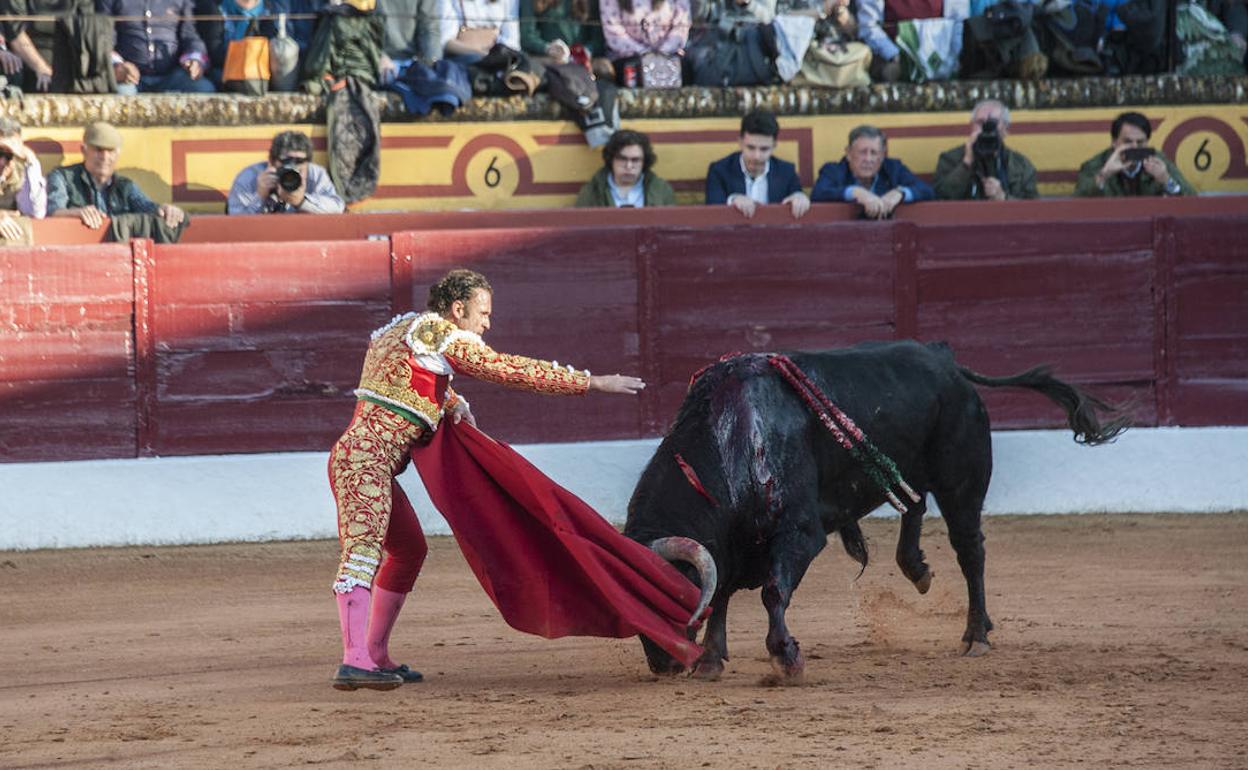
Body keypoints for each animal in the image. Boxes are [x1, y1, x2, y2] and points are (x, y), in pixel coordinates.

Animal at [628, 341, 1128, 678]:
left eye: (668, 594)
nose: (661, 664)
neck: (732, 436)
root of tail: (947, 363)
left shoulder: (799, 533)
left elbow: (770, 592)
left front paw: (786, 656)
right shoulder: (734, 544)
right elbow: (724, 594)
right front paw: (712, 660)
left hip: (961, 483)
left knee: (970, 550)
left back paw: (976, 635)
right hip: (909, 468)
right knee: (914, 504)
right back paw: (920, 571)